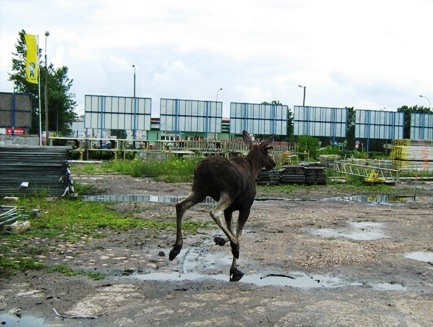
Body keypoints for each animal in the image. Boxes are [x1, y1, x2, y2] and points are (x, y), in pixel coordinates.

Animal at [169, 131, 274, 282]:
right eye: (267, 151)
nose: (273, 163)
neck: (254, 170)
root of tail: (204, 168)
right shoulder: (245, 208)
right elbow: (238, 234)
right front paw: (234, 265)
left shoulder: (230, 210)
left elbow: (231, 230)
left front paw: (222, 243)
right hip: (227, 192)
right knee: (214, 213)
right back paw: (235, 246)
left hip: (199, 190)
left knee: (180, 205)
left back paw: (176, 248)